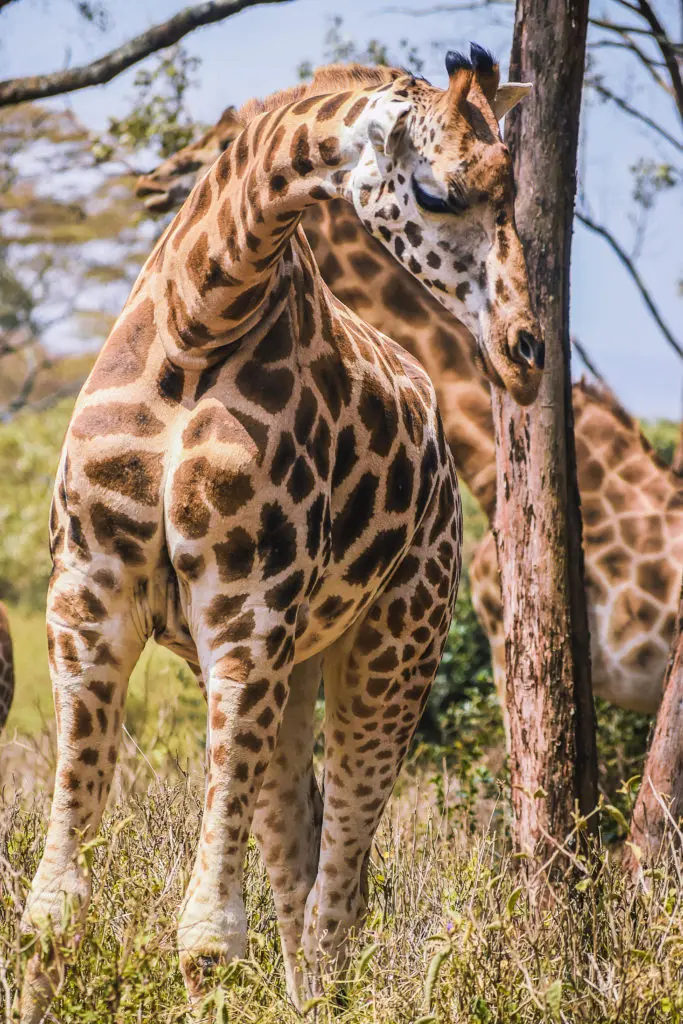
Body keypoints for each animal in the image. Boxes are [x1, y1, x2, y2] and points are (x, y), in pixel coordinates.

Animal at [20, 52, 542, 1019]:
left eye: (515, 189)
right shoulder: (87, 599)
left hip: (394, 647)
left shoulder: (246, 610)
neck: (195, 328)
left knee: (337, 893)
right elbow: (52, 915)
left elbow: (207, 941)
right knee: (302, 880)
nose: (524, 353)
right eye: (438, 191)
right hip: (292, 667)